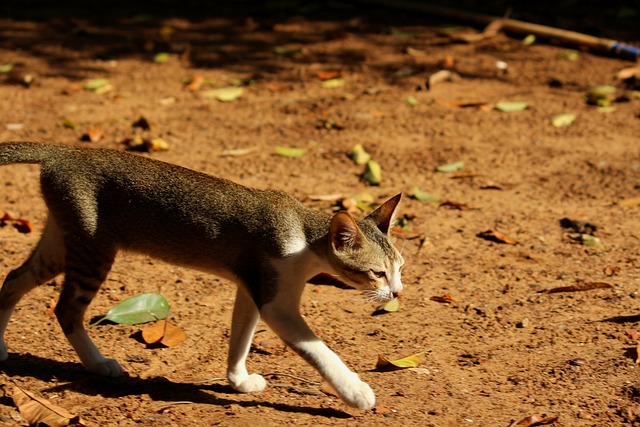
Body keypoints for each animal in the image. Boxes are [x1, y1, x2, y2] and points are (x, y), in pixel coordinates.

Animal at [0, 142, 404, 410]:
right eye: (378, 274)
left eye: (401, 269)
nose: (397, 293)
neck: (303, 236)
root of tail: (63, 152)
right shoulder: (277, 303)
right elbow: (320, 351)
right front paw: (355, 392)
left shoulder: (250, 287)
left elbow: (240, 336)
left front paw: (238, 380)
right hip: (93, 249)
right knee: (65, 309)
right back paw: (99, 364)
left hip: (63, 242)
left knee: (13, 278)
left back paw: (2, 348)